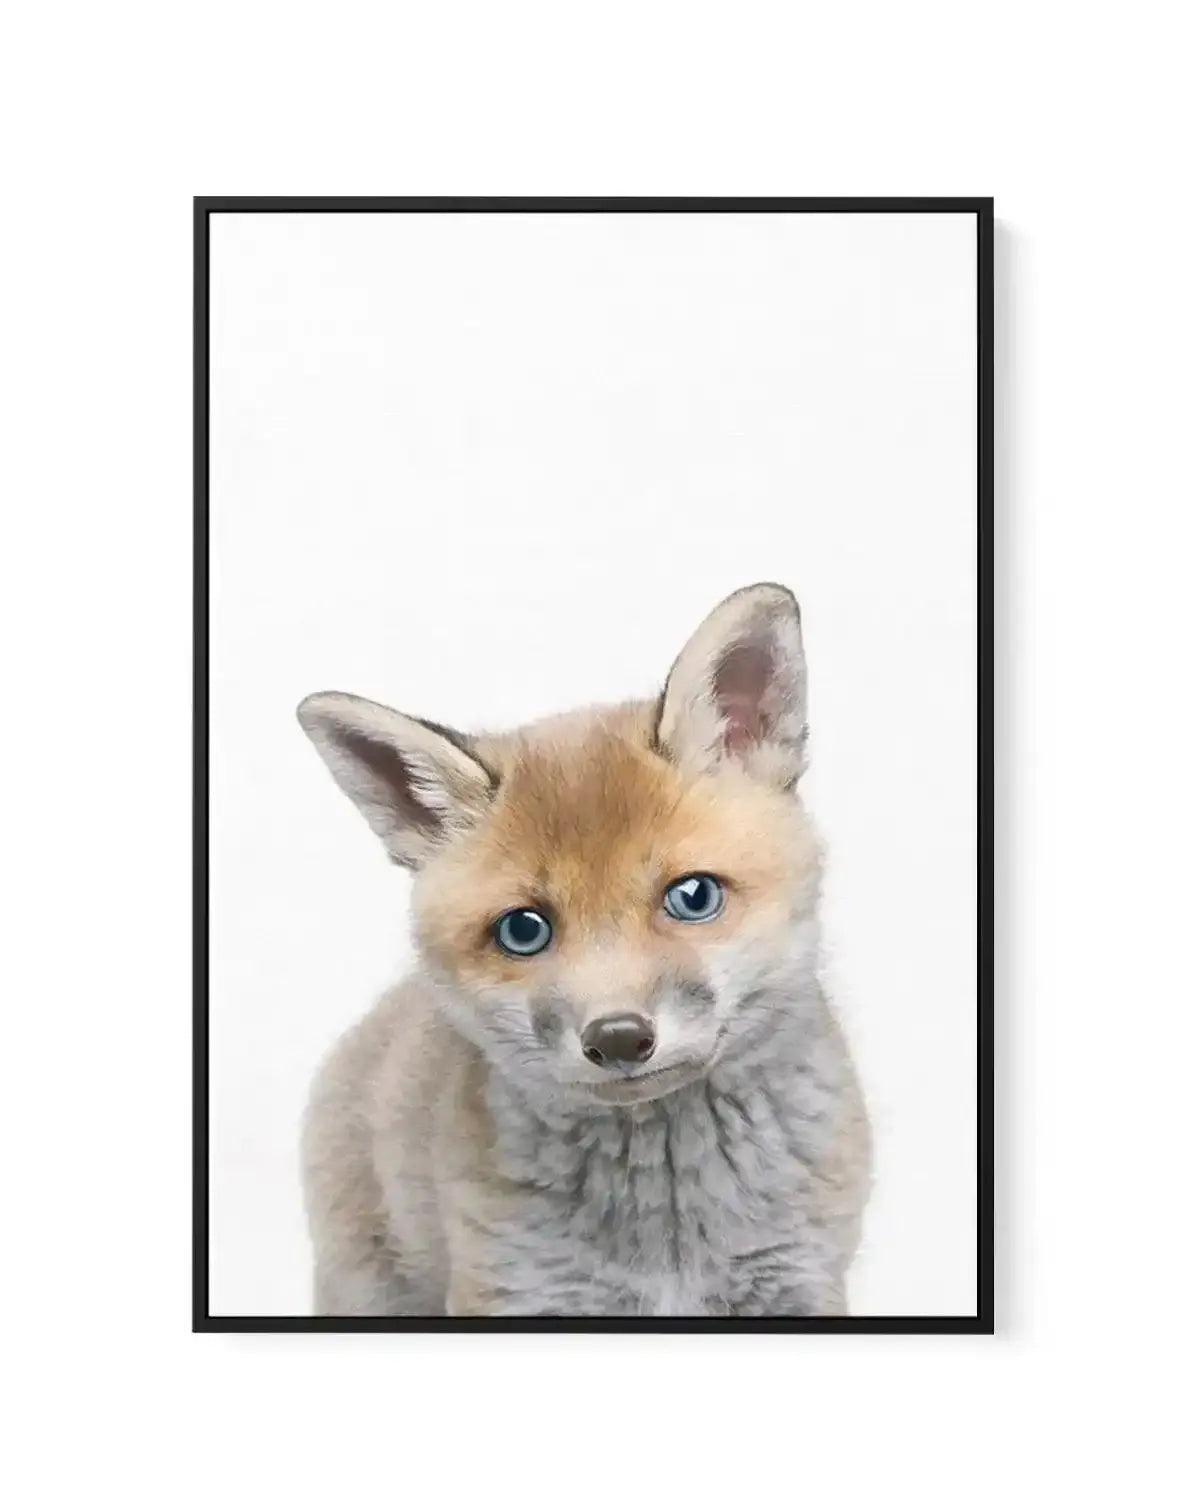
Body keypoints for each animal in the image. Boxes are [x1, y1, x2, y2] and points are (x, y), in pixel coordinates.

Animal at [297, 582, 870, 1317]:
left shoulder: (798, 1277)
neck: (669, 1233)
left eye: (693, 896)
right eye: (524, 930)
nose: (619, 1038)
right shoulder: (516, 1289)